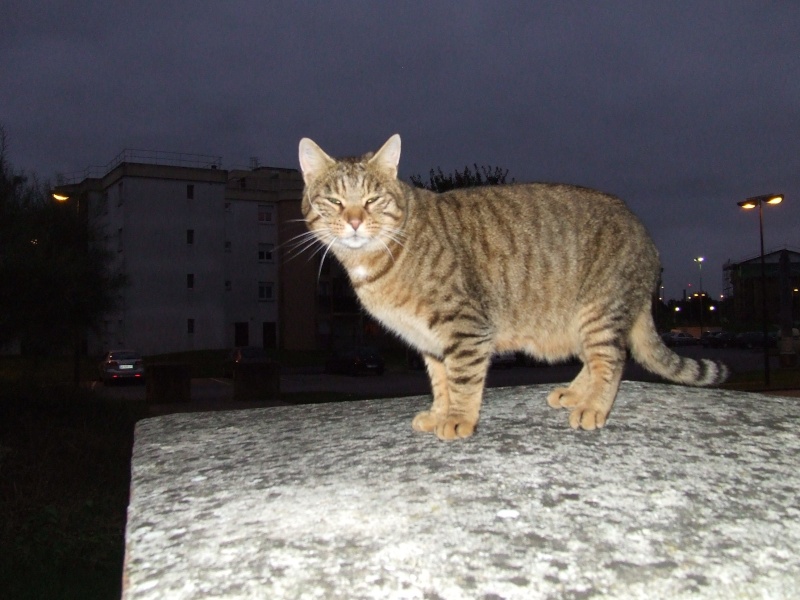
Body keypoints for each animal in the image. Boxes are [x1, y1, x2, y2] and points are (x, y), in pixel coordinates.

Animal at [296, 136, 728, 440]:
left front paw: (457, 419)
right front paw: (439, 413)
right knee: (595, 361)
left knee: (612, 360)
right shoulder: (431, 342)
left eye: (372, 199)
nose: (354, 221)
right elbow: (441, 383)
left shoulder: (466, 326)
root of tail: (646, 235)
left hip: (599, 311)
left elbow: (462, 380)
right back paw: (575, 394)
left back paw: (593, 407)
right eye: (334, 201)